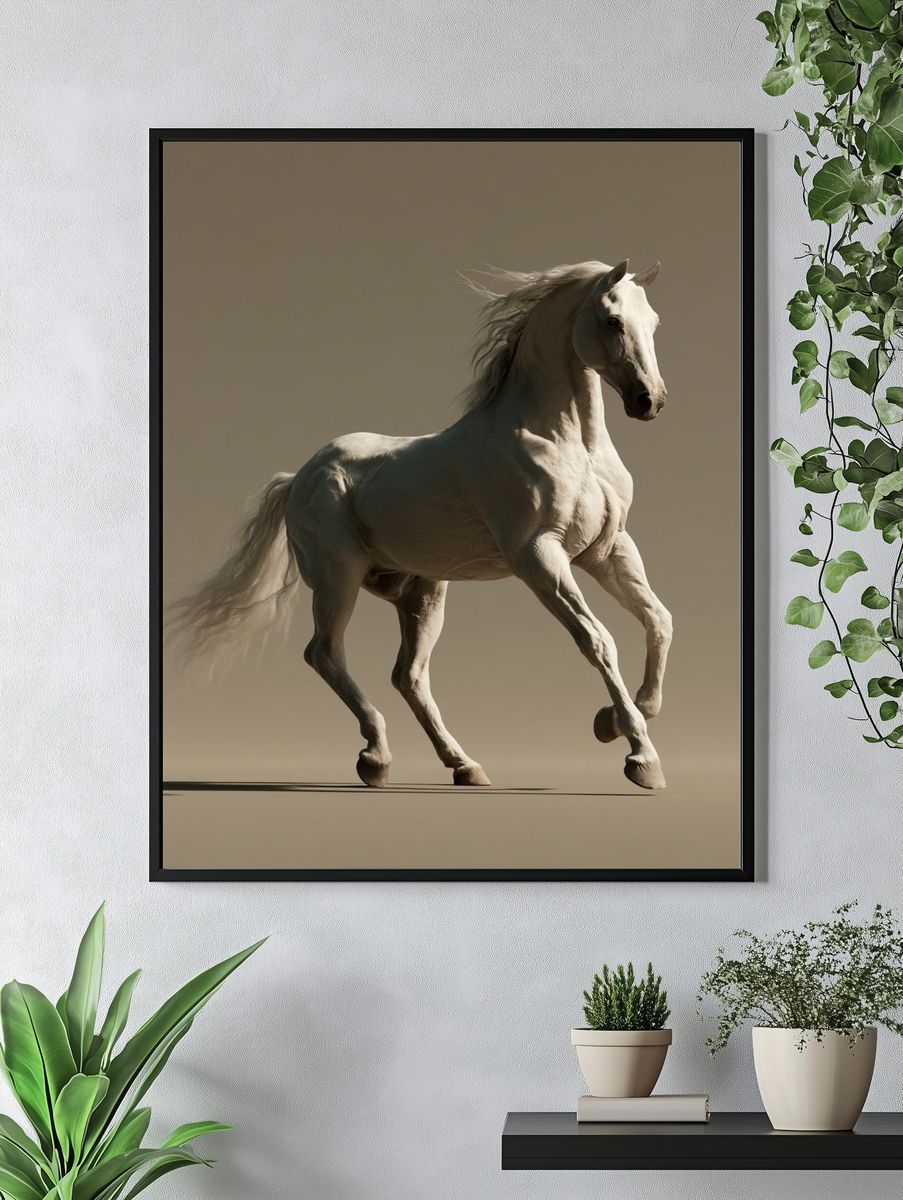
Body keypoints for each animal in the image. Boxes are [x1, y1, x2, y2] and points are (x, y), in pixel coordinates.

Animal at [170, 258, 673, 791]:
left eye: (654, 323)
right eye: (613, 321)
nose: (649, 401)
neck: (568, 444)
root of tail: (300, 477)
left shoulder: (607, 549)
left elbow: (659, 621)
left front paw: (614, 720)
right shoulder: (539, 555)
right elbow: (598, 641)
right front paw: (641, 758)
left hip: (422, 591)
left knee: (408, 675)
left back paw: (465, 765)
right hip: (337, 579)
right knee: (325, 653)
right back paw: (376, 757)